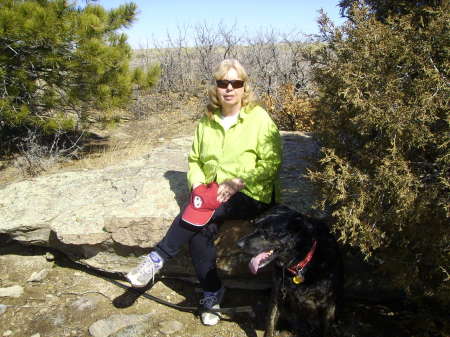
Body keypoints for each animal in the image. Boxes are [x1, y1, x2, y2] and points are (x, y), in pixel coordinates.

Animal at [237, 203, 342, 334]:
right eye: (255, 226)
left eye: (266, 232)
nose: (238, 244)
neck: (300, 264)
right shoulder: (277, 294)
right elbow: (270, 322)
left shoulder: (328, 304)